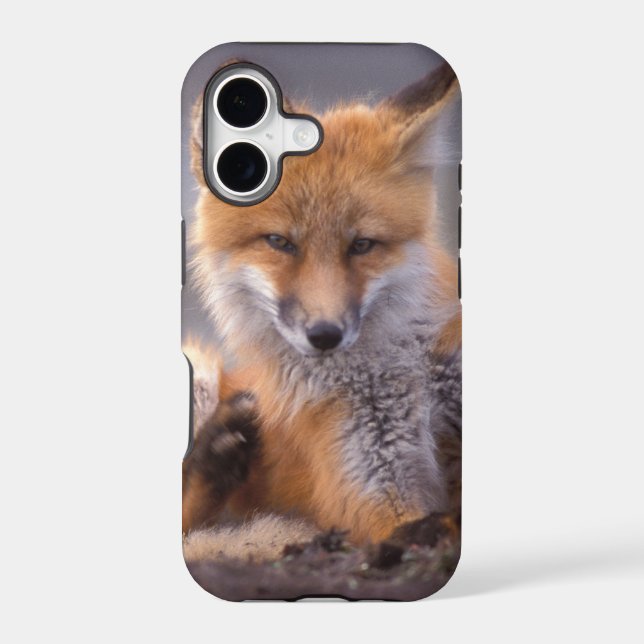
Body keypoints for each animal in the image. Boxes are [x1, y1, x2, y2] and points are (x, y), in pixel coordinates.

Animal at [182, 61, 462, 561]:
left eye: (362, 245)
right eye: (280, 243)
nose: (325, 334)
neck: (398, 369)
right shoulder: (373, 489)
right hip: (200, 371)